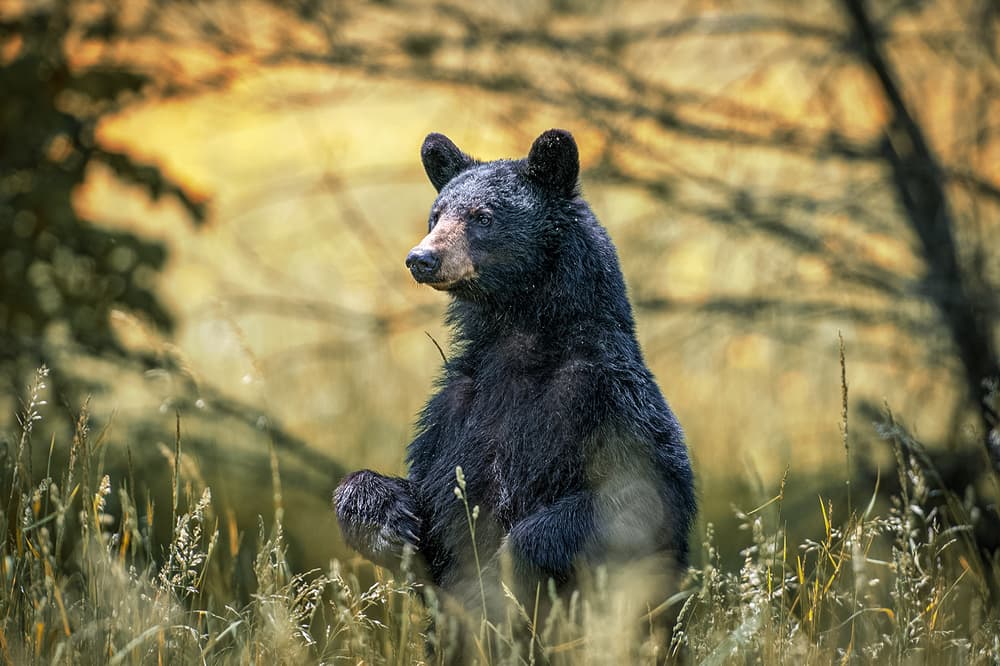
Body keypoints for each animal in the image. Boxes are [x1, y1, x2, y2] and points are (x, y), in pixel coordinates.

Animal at [334, 129, 695, 658]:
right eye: (436, 214)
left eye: (483, 217)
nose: (421, 258)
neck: (518, 343)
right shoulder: (453, 412)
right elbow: (428, 491)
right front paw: (388, 524)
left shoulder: (608, 398)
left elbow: (638, 498)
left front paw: (508, 569)